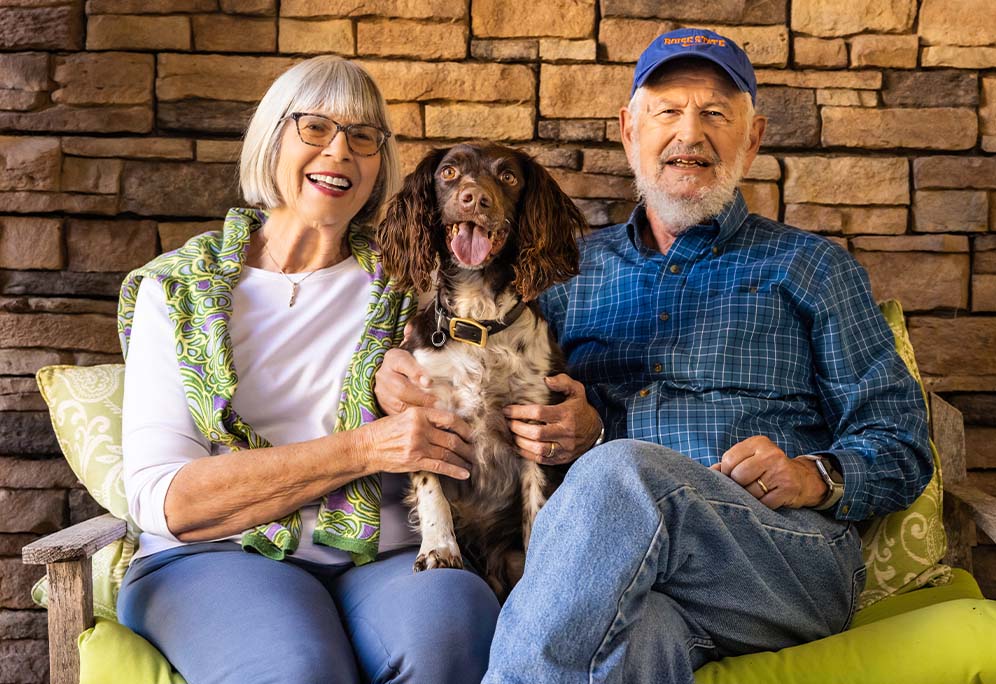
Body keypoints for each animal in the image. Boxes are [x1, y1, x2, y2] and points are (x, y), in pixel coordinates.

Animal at [378, 142, 588, 596]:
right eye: (449, 172)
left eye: (508, 176)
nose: (474, 198)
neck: (479, 325)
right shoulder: (422, 417)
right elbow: (431, 491)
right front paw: (439, 549)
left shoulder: (538, 426)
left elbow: (538, 508)